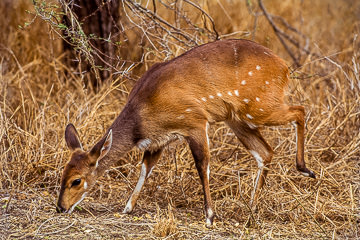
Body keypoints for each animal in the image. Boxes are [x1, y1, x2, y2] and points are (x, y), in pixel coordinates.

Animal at [56, 39, 316, 225]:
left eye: (76, 181)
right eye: (62, 175)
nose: (60, 207)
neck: (143, 112)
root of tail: (285, 68)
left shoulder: (196, 123)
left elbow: (202, 166)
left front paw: (209, 216)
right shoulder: (158, 140)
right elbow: (145, 169)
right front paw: (127, 207)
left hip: (259, 106)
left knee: (300, 110)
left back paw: (306, 169)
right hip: (237, 119)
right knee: (266, 152)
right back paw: (251, 211)